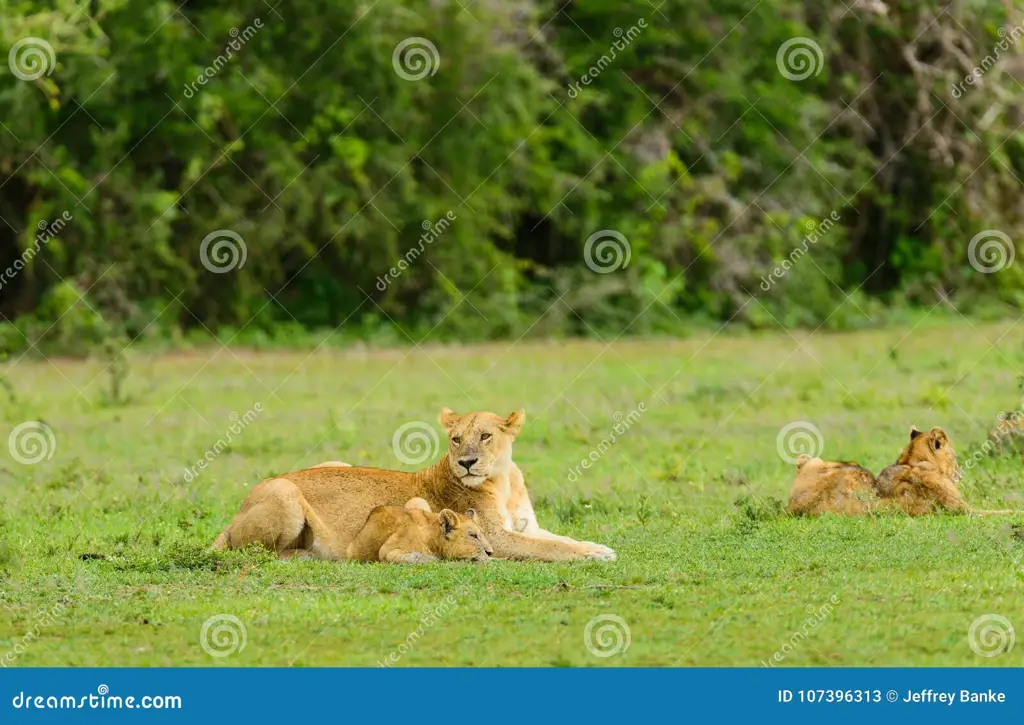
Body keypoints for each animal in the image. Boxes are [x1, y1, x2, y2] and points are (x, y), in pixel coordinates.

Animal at [209, 407, 614, 561]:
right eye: (456, 439)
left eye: (485, 436)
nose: (466, 462)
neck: (502, 480)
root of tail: (236, 513)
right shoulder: (495, 538)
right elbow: (549, 548)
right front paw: (592, 555)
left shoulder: (527, 525)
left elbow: (559, 539)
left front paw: (597, 547)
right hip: (285, 493)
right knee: (257, 553)